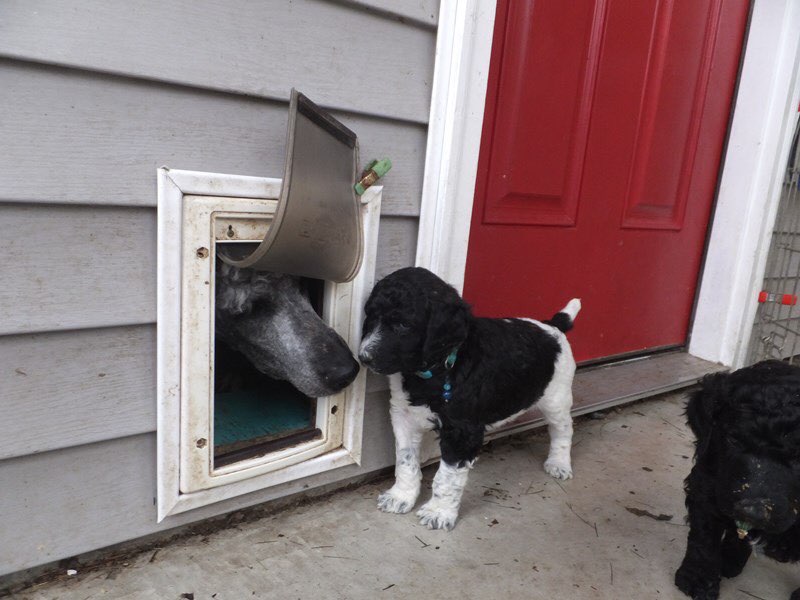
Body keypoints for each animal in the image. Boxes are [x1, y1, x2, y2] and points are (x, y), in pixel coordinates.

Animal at [360, 268, 580, 528]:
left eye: (403, 324)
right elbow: (406, 459)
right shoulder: (403, 415)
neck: (438, 368)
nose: (364, 357)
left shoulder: (462, 432)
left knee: (563, 430)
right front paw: (401, 497)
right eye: (370, 316)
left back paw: (559, 463)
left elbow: (446, 476)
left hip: (557, 396)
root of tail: (553, 325)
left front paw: (438, 512)